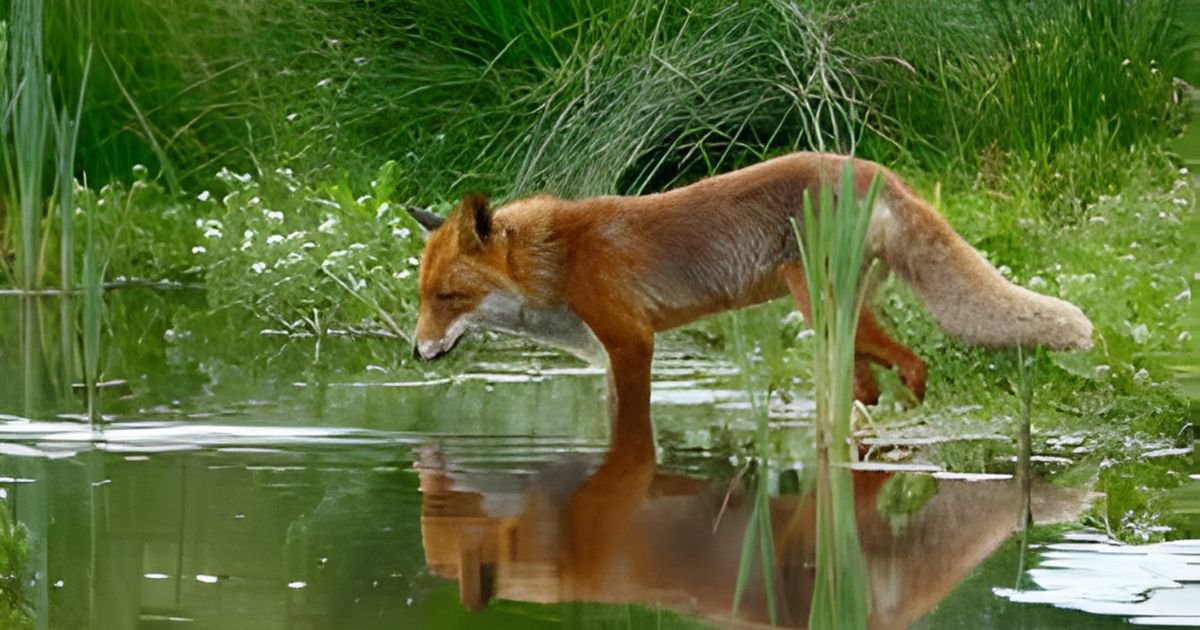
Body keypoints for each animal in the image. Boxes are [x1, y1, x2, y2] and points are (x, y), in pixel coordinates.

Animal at [405, 152, 1092, 457]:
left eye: (449, 298)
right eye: (421, 299)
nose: (417, 352)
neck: (561, 261)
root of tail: (876, 171)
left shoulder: (632, 341)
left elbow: (635, 424)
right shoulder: (606, 355)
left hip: (821, 309)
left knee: (912, 365)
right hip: (836, 319)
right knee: (871, 385)